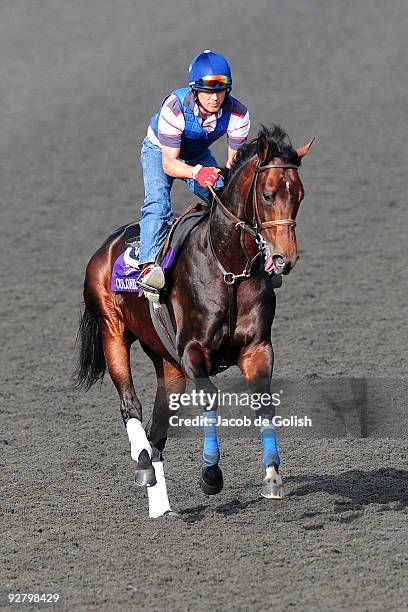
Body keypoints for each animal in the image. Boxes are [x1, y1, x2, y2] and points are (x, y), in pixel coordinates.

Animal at [75, 124, 312, 516]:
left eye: (300, 196)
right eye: (267, 194)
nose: (284, 258)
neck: (228, 268)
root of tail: (105, 248)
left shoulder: (257, 348)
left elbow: (264, 402)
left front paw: (272, 475)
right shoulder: (192, 351)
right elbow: (211, 398)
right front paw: (211, 474)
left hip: (167, 364)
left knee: (158, 430)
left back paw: (159, 505)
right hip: (113, 332)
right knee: (131, 406)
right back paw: (142, 464)